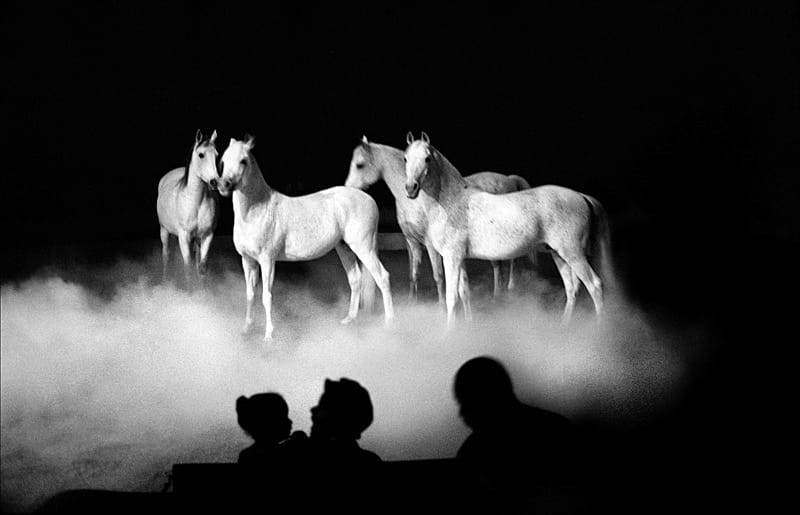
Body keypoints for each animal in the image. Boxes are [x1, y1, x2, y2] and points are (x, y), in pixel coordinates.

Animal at [156, 127, 220, 284]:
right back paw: (165, 280)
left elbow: (202, 266)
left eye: (216, 155)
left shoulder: (207, 235)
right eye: (201, 155)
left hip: (196, 239)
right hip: (164, 230)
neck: (196, 202)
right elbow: (188, 267)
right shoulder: (184, 236)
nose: (215, 182)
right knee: (166, 255)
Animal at [219, 136, 394, 342]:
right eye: (223, 160)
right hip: (344, 248)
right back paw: (349, 319)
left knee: (382, 278)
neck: (257, 210)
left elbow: (266, 296)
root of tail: (369, 199)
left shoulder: (267, 261)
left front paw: (269, 335)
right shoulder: (247, 260)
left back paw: (390, 324)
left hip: (364, 248)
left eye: (243, 161)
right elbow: (250, 294)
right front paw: (246, 328)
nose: (224, 185)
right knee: (355, 279)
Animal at [344, 137, 532, 300]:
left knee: (509, 260)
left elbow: (438, 276)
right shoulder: (411, 241)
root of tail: (508, 179)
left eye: (359, 165)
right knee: (498, 265)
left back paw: (508, 289)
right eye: (406, 160)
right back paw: (498, 293)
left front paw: (441, 306)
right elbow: (413, 274)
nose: (347, 188)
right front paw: (412, 301)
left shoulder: (430, 244)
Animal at [406, 133, 612, 324]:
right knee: (571, 287)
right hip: (559, 255)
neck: (452, 203)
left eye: (427, 158)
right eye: (406, 158)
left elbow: (452, 298)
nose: (410, 188)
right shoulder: (459, 259)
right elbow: (464, 293)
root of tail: (581, 196)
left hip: (573, 254)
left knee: (594, 286)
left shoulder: (451, 257)